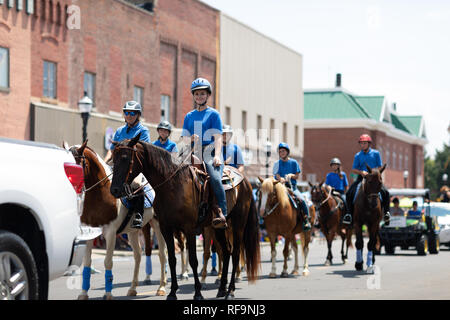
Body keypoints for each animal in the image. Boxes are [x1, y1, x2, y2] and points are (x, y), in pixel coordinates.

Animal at [64, 141, 168, 298]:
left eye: (76, 166)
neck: (101, 195)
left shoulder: (111, 234)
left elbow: (108, 262)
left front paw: (108, 294)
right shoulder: (90, 234)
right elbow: (87, 263)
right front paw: (83, 293)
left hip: (157, 225)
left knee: (162, 254)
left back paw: (161, 287)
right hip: (133, 232)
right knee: (138, 255)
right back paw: (132, 288)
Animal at [107, 134, 260, 300]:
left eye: (125, 158)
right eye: (113, 158)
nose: (114, 190)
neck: (172, 185)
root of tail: (245, 181)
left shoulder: (189, 229)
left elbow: (193, 260)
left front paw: (198, 293)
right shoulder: (166, 228)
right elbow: (172, 259)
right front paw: (172, 292)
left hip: (238, 224)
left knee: (236, 253)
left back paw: (230, 290)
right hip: (218, 228)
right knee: (226, 252)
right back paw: (221, 289)